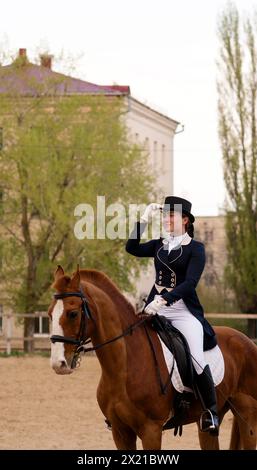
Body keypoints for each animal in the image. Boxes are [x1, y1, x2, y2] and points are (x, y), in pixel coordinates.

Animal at [48, 266, 256, 450]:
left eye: (73, 313)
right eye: (50, 314)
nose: (59, 364)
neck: (123, 369)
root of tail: (247, 341)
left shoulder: (151, 431)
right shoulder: (120, 432)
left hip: (248, 417)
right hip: (208, 422)